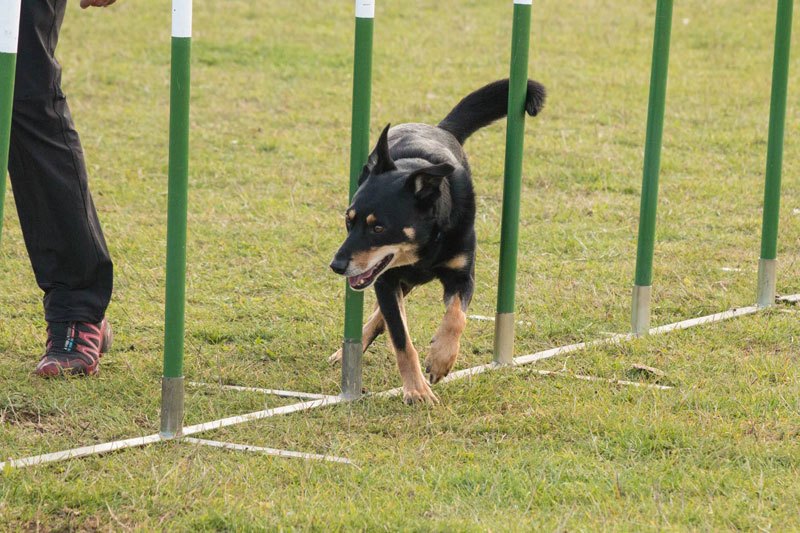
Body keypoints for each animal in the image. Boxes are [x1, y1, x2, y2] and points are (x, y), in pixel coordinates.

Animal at [326, 79, 544, 404]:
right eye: (348, 220)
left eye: (378, 227)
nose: (337, 265)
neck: (426, 242)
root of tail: (440, 127)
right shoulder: (386, 279)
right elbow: (401, 339)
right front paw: (417, 389)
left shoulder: (461, 275)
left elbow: (455, 317)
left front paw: (441, 359)